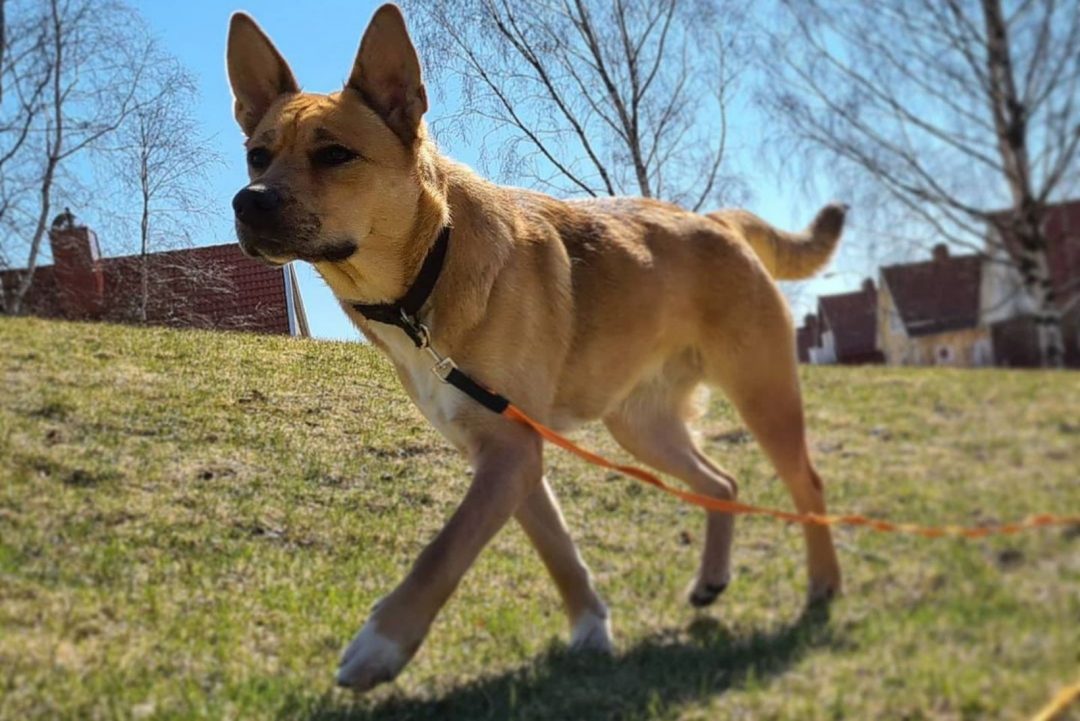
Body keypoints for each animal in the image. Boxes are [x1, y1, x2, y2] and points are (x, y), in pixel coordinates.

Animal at [225, 5, 842, 690]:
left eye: (335, 154)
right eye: (257, 156)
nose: (248, 202)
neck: (428, 273)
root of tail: (715, 220)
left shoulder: (511, 452)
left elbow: (444, 550)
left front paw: (381, 644)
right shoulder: (507, 452)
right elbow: (558, 549)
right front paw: (590, 628)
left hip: (764, 397)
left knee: (809, 486)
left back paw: (823, 584)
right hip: (642, 428)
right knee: (723, 482)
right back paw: (711, 579)